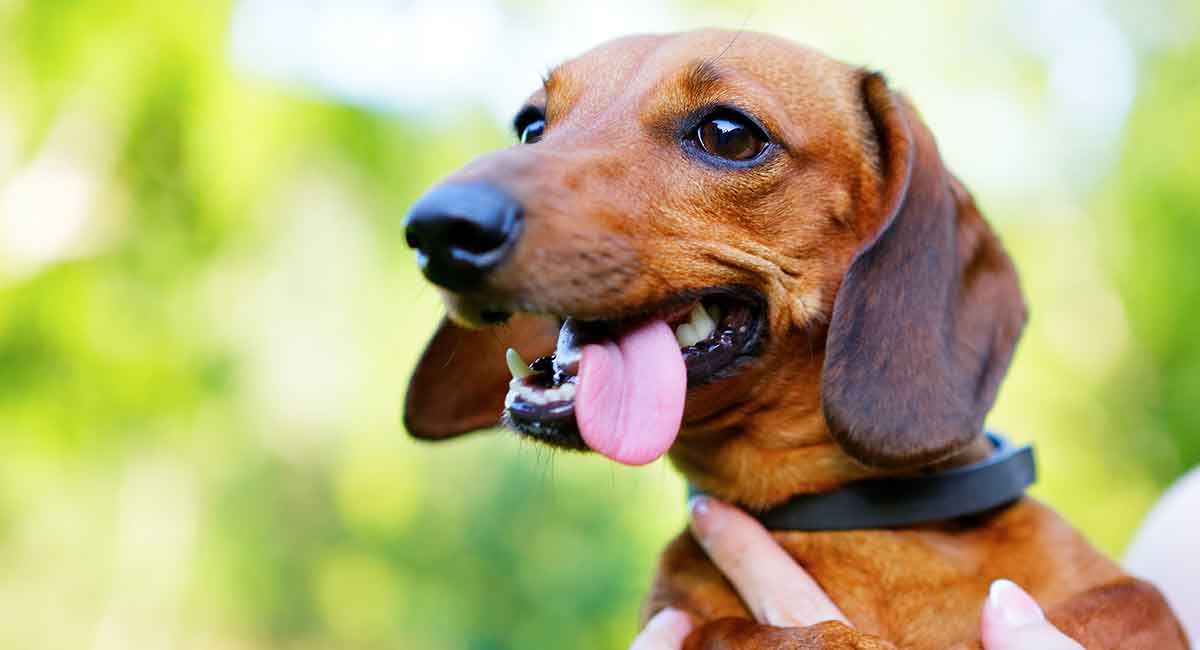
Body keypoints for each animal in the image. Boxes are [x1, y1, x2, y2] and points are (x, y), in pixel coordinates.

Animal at [398, 28, 1185, 647]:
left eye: (728, 133)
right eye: (531, 126)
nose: (438, 227)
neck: (843, 518)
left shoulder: (1114, 601)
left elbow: (1132, 604)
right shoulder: (688, 619)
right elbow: (749, 634)